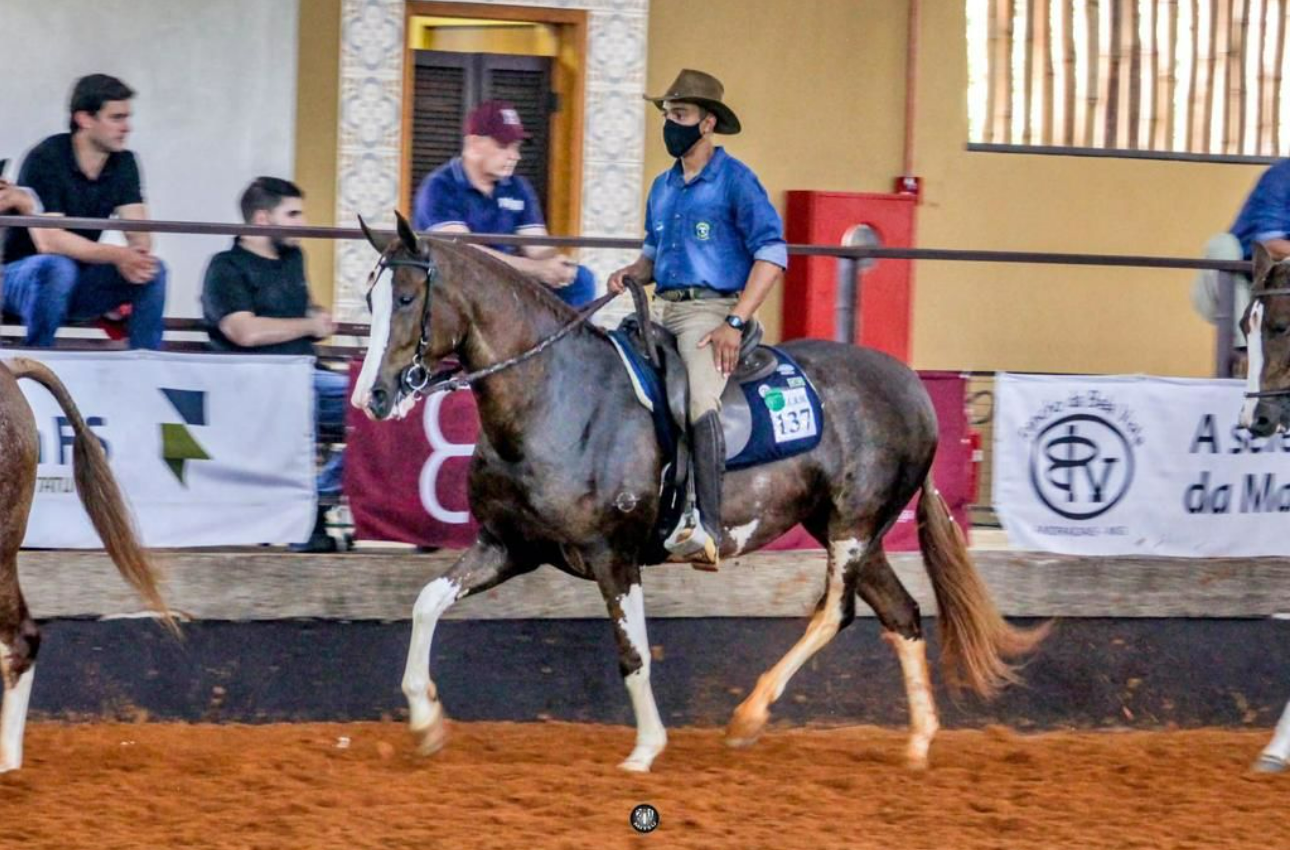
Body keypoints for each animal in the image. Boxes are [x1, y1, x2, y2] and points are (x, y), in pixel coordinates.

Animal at [350, 212, 1047, 773]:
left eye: (407, 297)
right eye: (370, 298)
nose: (371, 397)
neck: (555, 396)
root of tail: (912, 386)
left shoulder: (613, 556)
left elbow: (632, 652)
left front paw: (645, 748)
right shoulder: (506, 546)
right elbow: (426, 603)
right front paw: (425, 721)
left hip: (853, 526)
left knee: (835, 612)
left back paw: (749, 716)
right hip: (854, 531)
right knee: (901, 614)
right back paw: (920, 742)